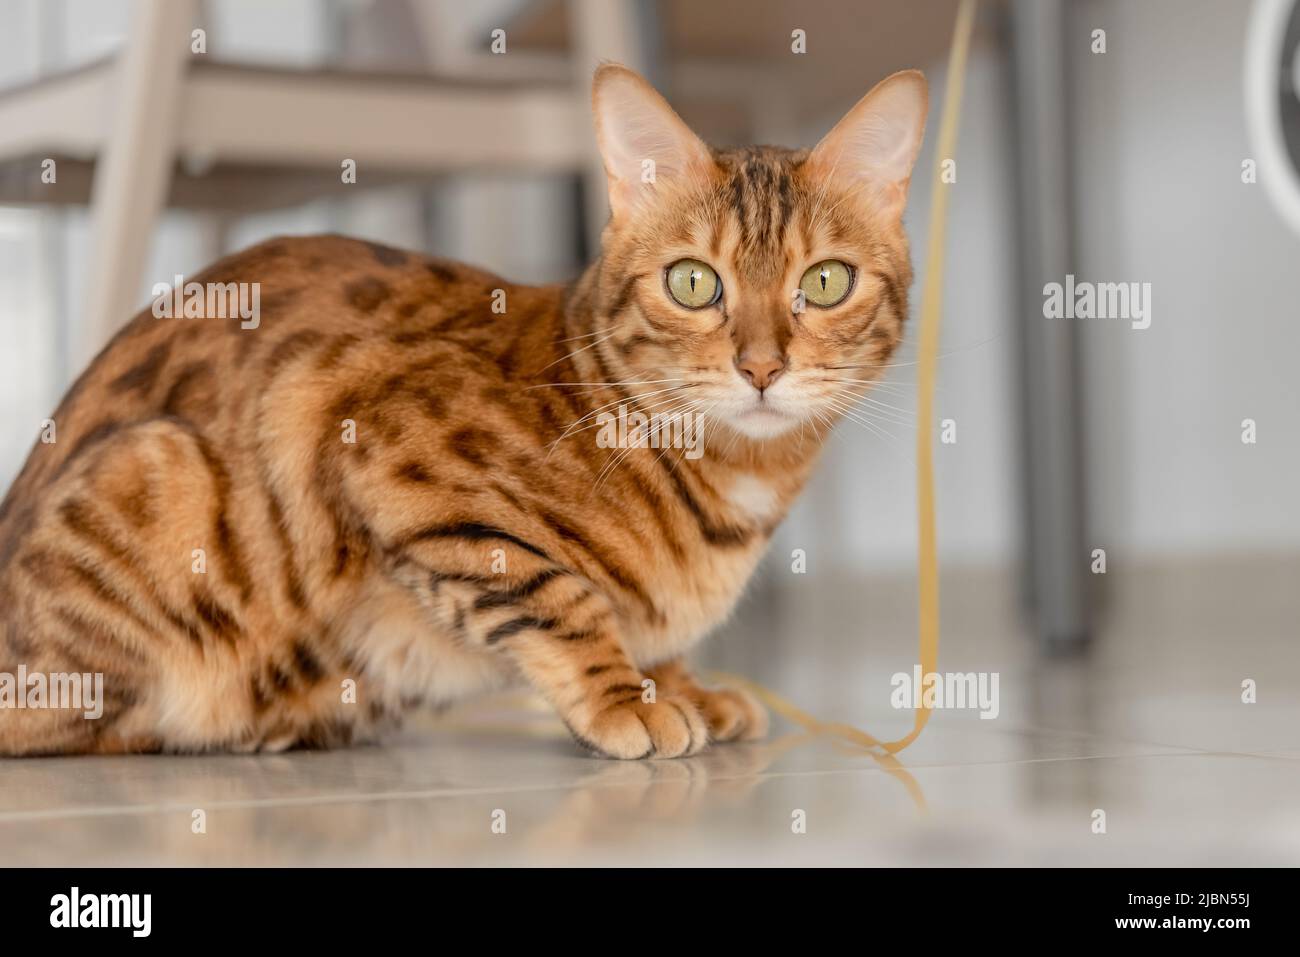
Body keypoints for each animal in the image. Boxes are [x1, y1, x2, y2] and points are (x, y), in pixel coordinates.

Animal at [0, 63, 925, 759]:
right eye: (694, 282)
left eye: (825, 282)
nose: (761, 366)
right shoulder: (369, 429)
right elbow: (561, 595)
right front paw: (628, 695)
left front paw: (686, 683)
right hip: (160, 473)